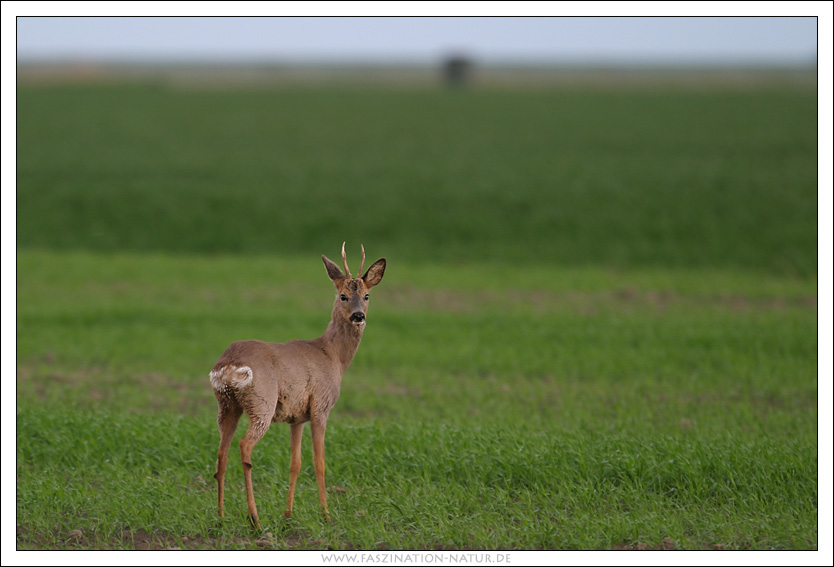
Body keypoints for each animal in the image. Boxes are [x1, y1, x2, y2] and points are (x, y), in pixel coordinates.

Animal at [211, 242, 386, 524]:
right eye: (343, 296)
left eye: (367, 295)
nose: (359, 316)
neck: (332, 356)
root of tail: (228, 364)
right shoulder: (321, 406)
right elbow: (319, 462)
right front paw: (326, 514)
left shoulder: (296, 417)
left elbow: (295, 463)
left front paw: (288, 513)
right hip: (262, 403)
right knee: (244, 446)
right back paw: (254, 517)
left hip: (227, 405)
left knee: (221, 453)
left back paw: (221, 515)